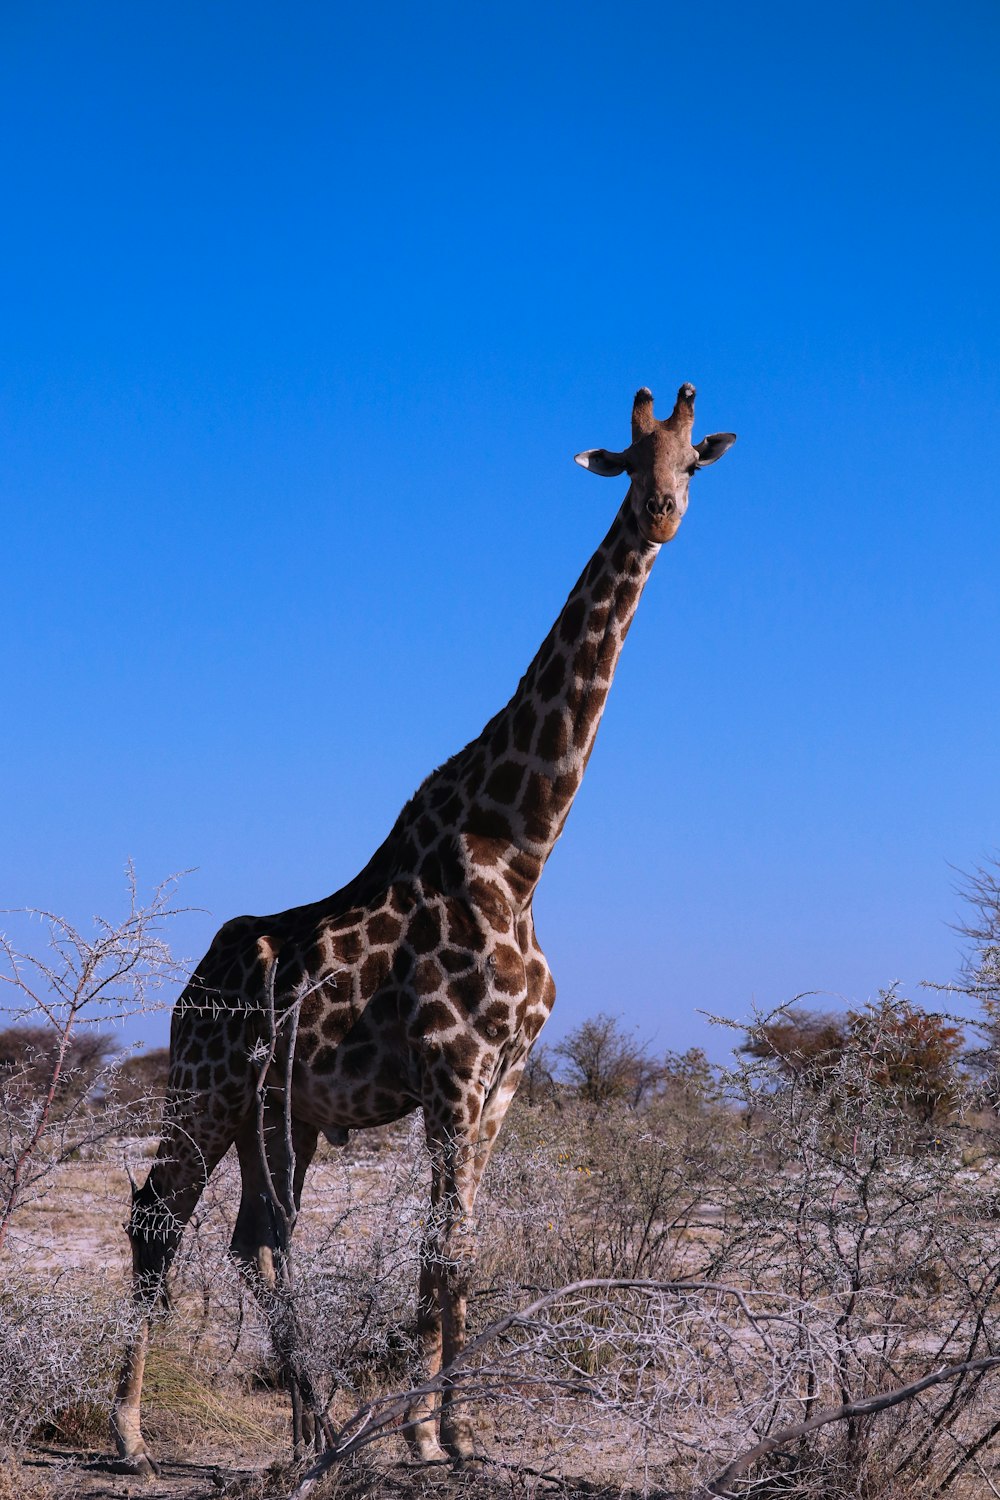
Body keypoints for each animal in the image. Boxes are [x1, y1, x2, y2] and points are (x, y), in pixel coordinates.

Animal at [111, 381, 734, 1470]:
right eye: (628, 458)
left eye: (693, 458)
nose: (661, 513)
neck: (521, 849)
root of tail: (186, 994)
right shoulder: (450, 1063)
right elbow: (443, 1248)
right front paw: (426, 1437)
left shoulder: (506, 1075)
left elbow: (459, 1248)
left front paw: (448, 1431)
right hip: (203, 1087)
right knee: (159, 1216)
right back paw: (136, 1434)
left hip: (285, 1112)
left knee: (252, 1237)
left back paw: (311, 1429)